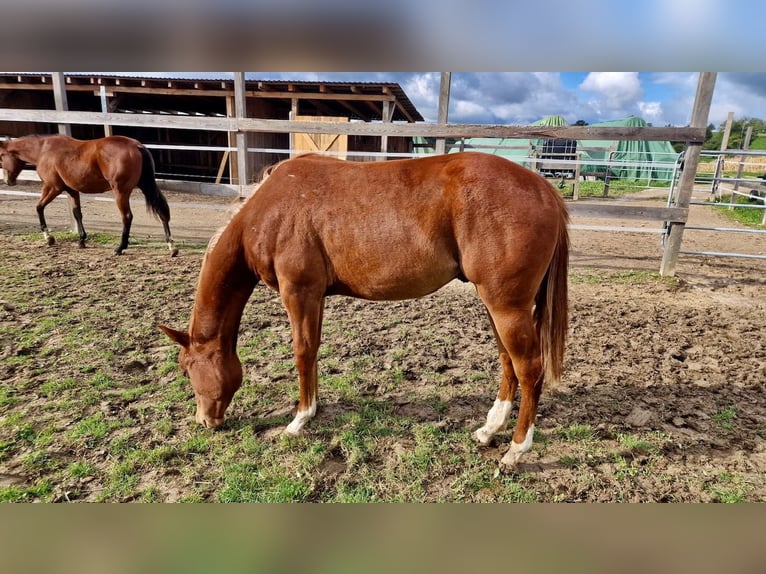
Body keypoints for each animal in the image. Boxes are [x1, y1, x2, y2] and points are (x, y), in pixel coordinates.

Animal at [0, 135, 178, 256]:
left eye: (1, 156)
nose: (8, 181)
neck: (44, 151)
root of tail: (137, 146)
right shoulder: (72, 191)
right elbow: (77, 213)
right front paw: (81, 240)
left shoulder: (52, 187)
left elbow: (39, 208)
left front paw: (49, 238)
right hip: (145, 185)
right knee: (162, 211)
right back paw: (171, 246)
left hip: (121, 192)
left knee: (127, 217)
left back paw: (120, 248)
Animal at [160, 152, 569, 470]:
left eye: (186, 370)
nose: (205, 421)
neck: (269, 210)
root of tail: (543, 188)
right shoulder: (315, 297)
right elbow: (313, 351)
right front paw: (312, 409)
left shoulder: (299, 292)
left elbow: (302, 352)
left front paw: (298, 420)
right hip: (496, 306)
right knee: (508, 362)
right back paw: (489, 431)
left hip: (507, 307)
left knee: (529, 368)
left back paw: (516, 450)